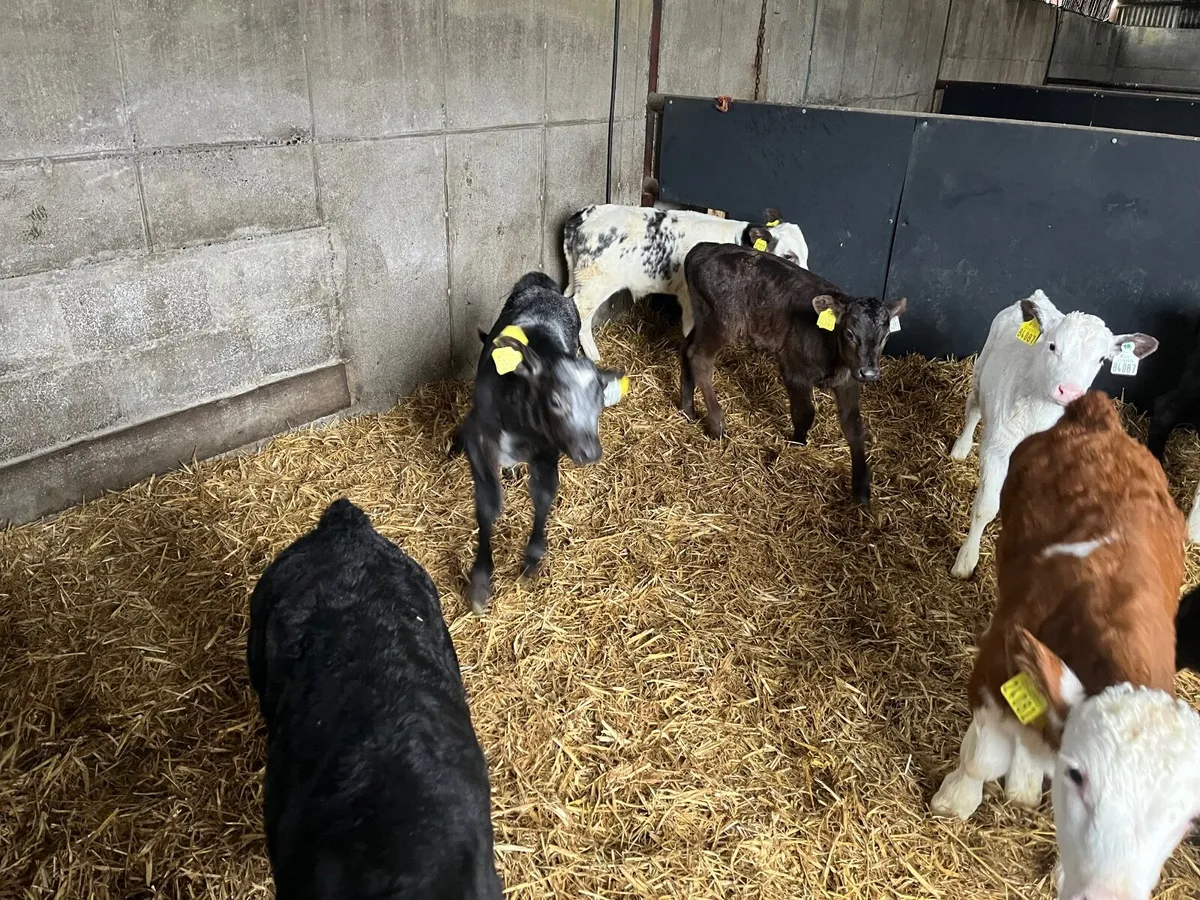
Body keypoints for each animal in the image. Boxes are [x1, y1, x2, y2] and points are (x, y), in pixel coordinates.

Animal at [453, 271, 626, 615]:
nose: (590, 452)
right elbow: (489, 505)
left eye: (600, 403)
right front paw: (480, 580)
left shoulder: (548, 449)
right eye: (556, 401)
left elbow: (544, 495)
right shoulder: (477, 439)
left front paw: (533, 557)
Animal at [562, 202, 810, 362]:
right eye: (789, 256)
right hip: (594, 282)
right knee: (579, 312)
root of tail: (587, 214)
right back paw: (592, 355)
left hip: (578, 276)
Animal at [680, 241, 905, 508]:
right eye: (849, 333)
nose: (869, 372)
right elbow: (804, 413)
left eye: (886, 336)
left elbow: (854, 427)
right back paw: (717, 425)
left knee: (686, 349)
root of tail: (705, 248)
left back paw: (687, 409)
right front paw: (797, 443)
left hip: (703, 318)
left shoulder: (849, 380)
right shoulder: (794, 369)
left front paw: (861, 489)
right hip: (721, 323)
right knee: (699, 359)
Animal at [931, 391, 1200, 900]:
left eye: (1188, 820)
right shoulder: (992, 673)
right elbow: (980, 759)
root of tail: (1101, 417)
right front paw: (955, 800)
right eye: (1079, 774)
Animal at [949, 289, 1158, 578]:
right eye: (1052, 346)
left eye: (1101, 359)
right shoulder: (997, 448)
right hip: (981, 371)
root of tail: (1039, 299)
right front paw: (966, 561)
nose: (1069, 391)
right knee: (973, 408)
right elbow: (985, 508)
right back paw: (960, 448)